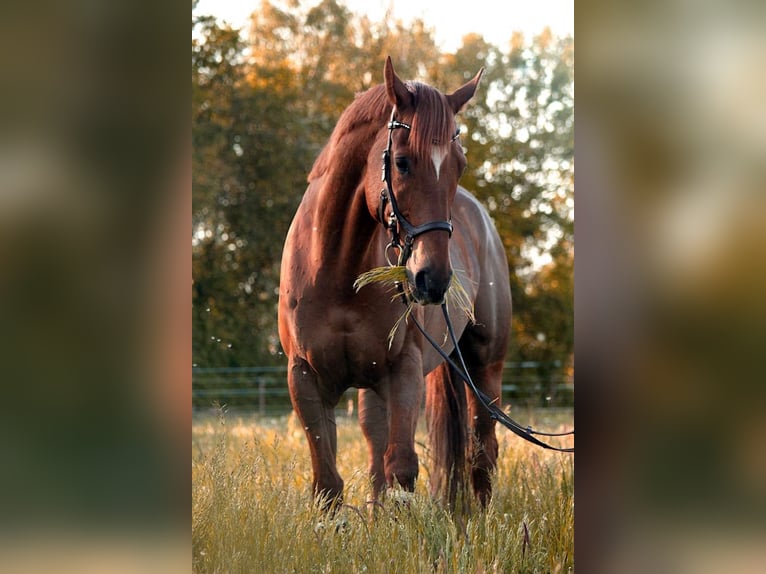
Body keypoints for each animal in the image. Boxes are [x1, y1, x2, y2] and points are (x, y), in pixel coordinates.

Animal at [280, 57, 512, 508]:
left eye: (460, 164)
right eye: (402, 161)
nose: (432, 279)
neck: (336, 267)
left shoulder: (403, 371)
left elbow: (402, 469)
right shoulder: (305, 379)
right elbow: (328, 483)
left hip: (484, 366)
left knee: (482, 451)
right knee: (376, 452)